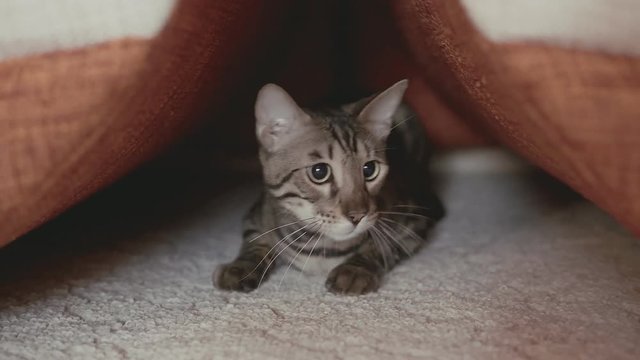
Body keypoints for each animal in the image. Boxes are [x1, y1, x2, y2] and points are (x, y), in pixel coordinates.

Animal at [212, 79, 442, 296]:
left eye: (369, 169)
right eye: (319, 172)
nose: (358, 216)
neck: (318, 244)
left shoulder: (413, 223)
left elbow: (383, 246)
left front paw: (355, 269)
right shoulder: (254, 215)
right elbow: (254, 242)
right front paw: (239, 267)